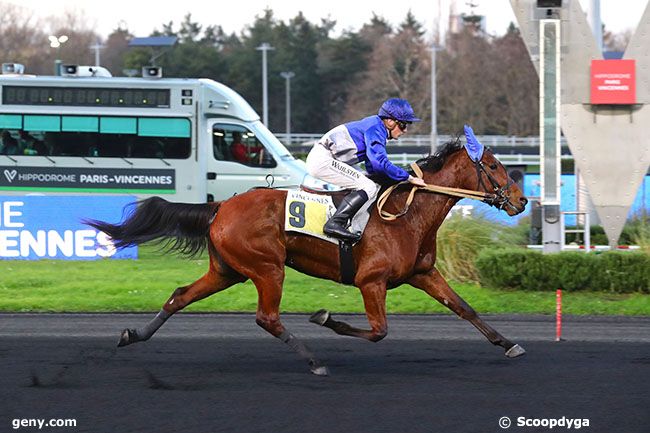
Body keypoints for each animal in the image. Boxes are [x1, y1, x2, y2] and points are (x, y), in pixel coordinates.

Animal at [86, 138, 528, 374]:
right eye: (493, 166)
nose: (522, 201)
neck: (408, 213)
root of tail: (220, 206)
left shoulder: (422, 273)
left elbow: (464, 308)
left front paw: (508, 343)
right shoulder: (371, 281)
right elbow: (379, 330)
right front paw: (326, 319)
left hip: (227, 270)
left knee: (180, 295)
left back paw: (133, 335)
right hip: (267, 267)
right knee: (267, 317)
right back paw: (314, 360)